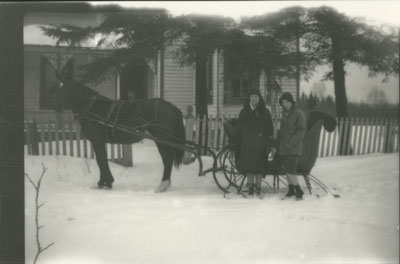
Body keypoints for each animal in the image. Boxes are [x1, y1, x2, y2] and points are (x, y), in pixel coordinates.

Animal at [53, 74, 186, 192]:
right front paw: (106, 183)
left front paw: (104, 183)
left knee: (167, 158)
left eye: (60, 87)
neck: (92, 108)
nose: (53, 105)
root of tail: (172, 106)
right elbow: (103, 160)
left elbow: (101, 161)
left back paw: (162, 185)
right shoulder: (100, 142)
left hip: (161, 138)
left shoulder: (97, 141)